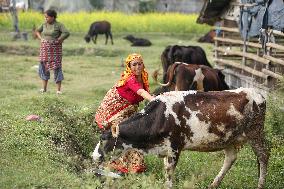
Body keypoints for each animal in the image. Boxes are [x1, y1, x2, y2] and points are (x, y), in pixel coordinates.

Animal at [94, 88, 270, 189]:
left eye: (104, 139)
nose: (94, 155)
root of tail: (257, 93)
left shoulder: (174, 147)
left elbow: (169, 173)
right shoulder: (165, 149)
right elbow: (166, 171)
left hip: (255, 131)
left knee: (263, 155)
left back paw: (260, 185)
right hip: (228, 137)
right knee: (230, 158)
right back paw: (213, 184)